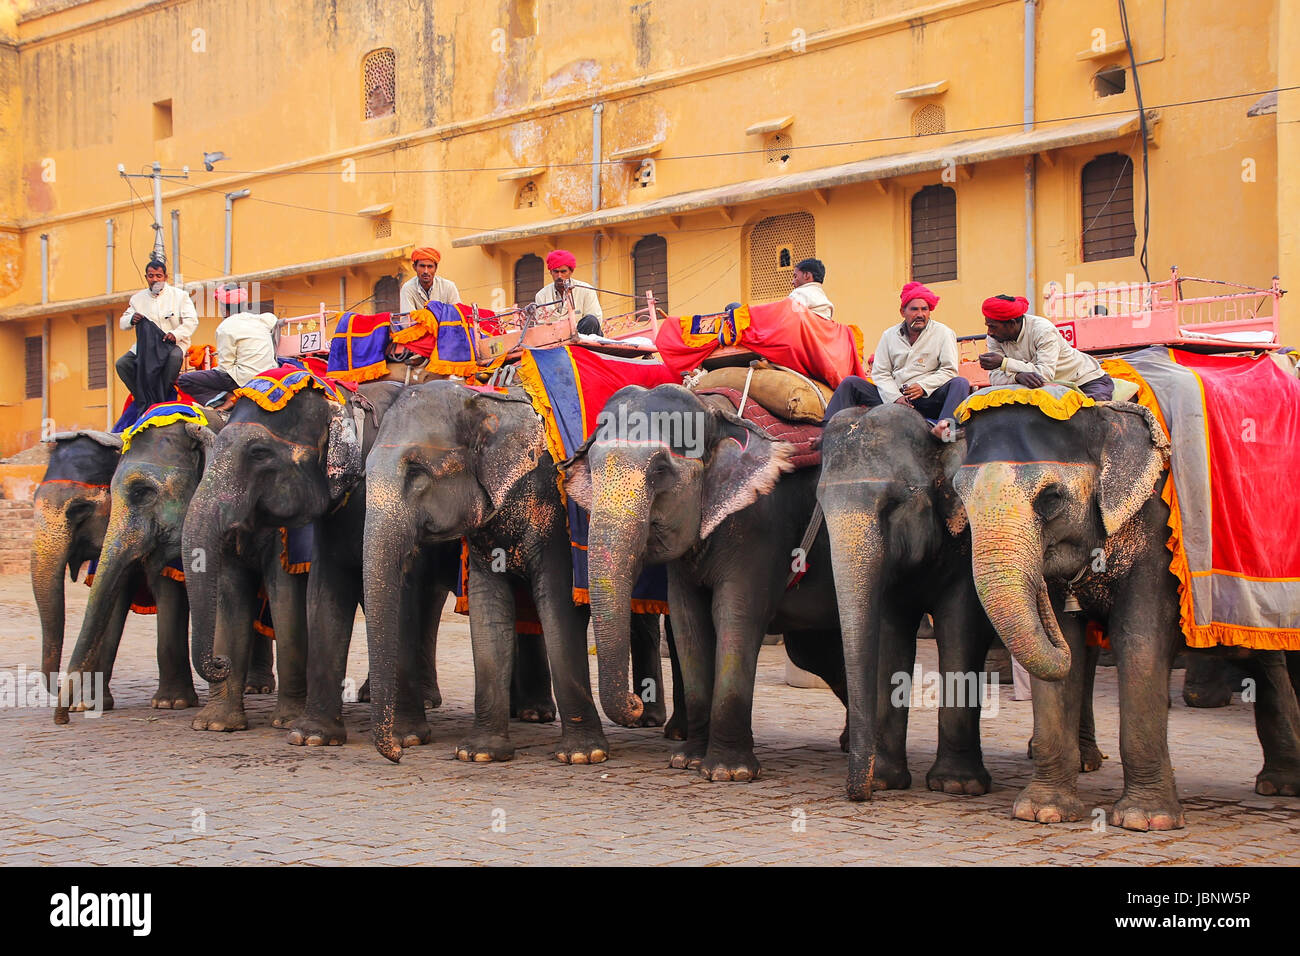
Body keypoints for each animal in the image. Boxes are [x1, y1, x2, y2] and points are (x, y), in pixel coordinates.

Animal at [363, 380, 678, 765]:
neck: (488, 401)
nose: (397, 755)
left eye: (417, 473)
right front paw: (479, 753)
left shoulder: (556, 514)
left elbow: (558, 604)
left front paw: (583, 756)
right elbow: (488, 609)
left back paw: (652, 723)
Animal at [564, 383, 847, 781]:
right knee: (819, 652)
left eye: (660, 469)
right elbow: (688, 623)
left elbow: (736, 615)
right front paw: (687, 761)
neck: (711, 411)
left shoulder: (760, 522)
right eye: (591, 467)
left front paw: (729, 773)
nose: (636, 704)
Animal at [954, 400, 1300, 830]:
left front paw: (1145, 820)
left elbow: (1140, 639)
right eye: (959, 497)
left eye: (1050, 498)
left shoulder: (1159, 530)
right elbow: (1067, 644)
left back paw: (1280, 787)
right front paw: (1042, 812)